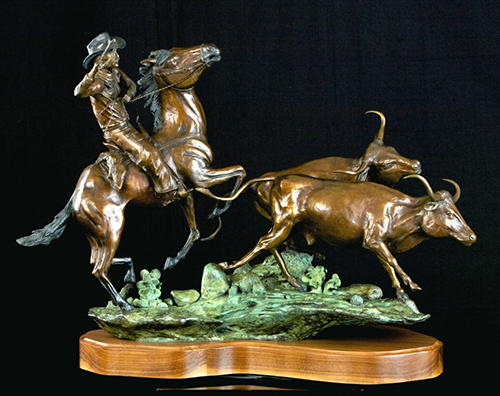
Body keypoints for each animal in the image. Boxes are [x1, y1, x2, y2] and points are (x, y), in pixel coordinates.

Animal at [17, 42, 246, 310]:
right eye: (174, 61)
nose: (210, 49)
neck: (182, 132)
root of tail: (77, 195)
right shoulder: (201, 177)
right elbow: (239, 172)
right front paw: (218, 209)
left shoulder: (184, 193)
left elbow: (195, 230)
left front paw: (173, 260)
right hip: (112, 227)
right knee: (98, 269)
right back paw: (123, 304)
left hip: (96, 235)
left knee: (96, 262)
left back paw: (129, 275)